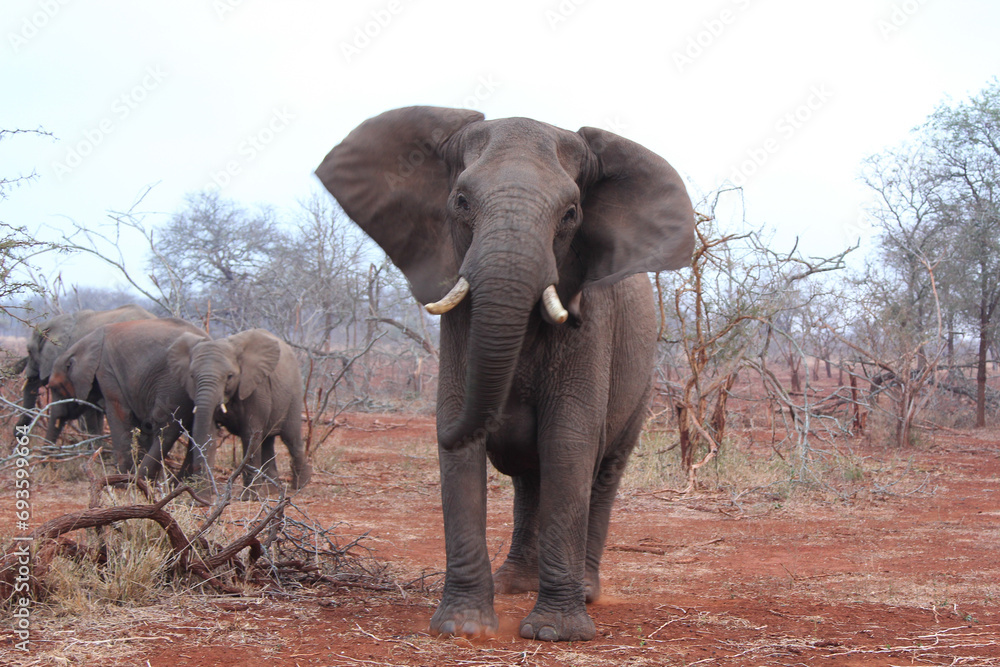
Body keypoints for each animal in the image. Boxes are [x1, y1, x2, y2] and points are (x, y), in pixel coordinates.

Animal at [47, 318, 210, 478]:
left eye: (55, 388)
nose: (49, 467)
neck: (82, 346)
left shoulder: (107, 372)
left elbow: (120, 415)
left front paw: (122, 475)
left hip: (174, 384)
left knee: (165, 427)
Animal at [163, 328, 311, 496]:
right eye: (192, 376)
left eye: (230, 376)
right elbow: (209, 433)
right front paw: (203, 496)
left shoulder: (255, 387)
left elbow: (249, 433)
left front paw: (250, 497)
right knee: (267, 440)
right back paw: (271, 491)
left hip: (294, 392)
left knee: (290, 437)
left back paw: (300, 485)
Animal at [315, 106, 694, 641]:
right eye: (460, 201)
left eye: (571, 214)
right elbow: (462, 443)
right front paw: (462, 627)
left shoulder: (591, 324)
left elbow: (569, 441)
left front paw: (555, 633)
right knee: (529, 480)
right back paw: (515, 583)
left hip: (642, 378)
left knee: (603, 471)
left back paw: (584, 591)